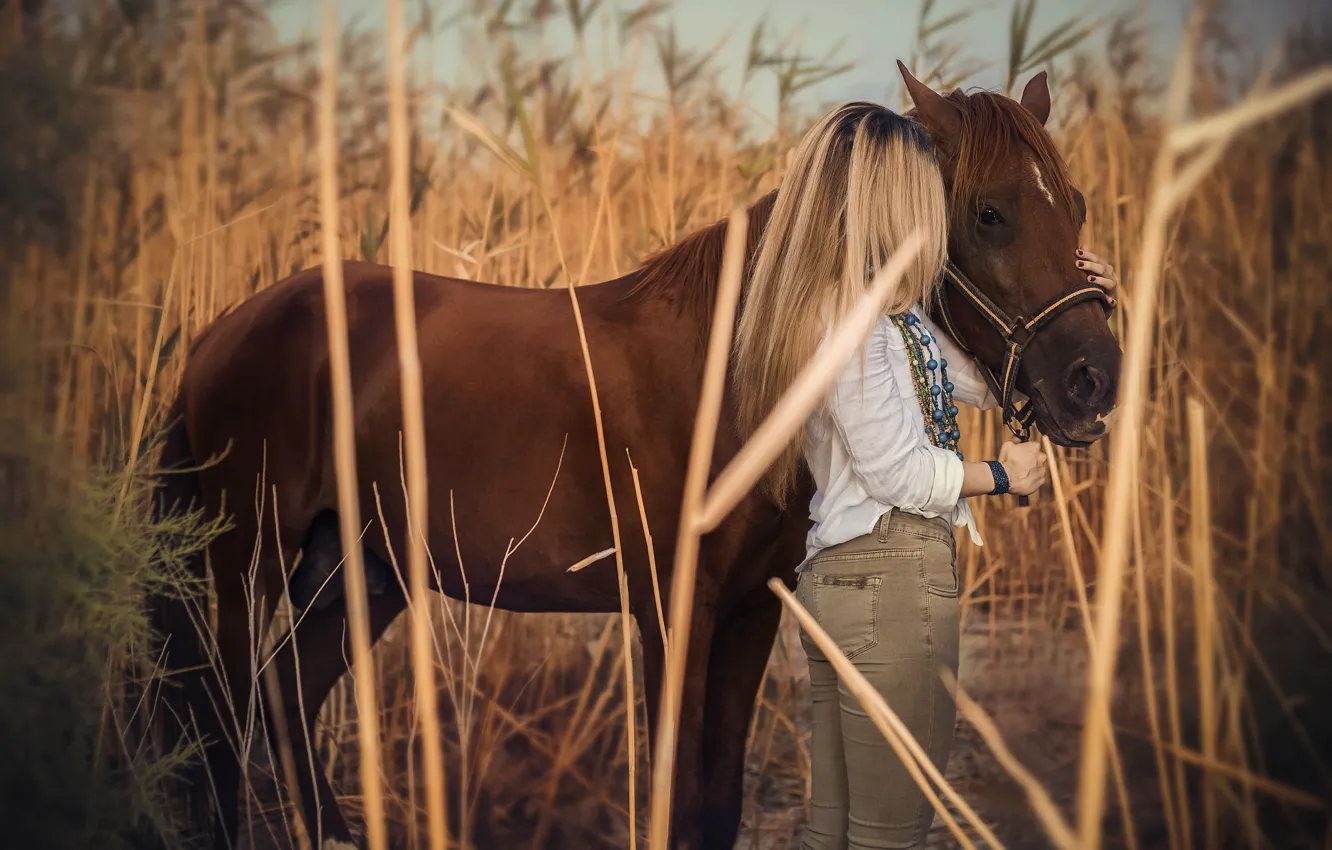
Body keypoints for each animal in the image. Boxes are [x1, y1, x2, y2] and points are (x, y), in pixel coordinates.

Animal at [149, 64, 1122, 850]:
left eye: (1077, 207)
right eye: (990, 212)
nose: (1095, 380)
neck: (736, 367)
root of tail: (221, 332)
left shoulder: (750, 613)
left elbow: (716, 807)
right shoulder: (672, 612)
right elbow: (673, 803)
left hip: (360, 571)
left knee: (282, 699)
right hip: (237, 569)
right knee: (218, 732)